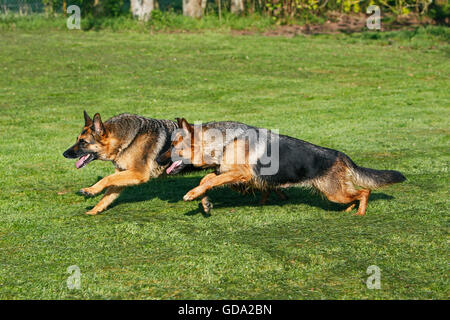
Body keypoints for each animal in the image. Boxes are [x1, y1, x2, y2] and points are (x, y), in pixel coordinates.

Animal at [156, 119, 406, 216]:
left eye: (173, 146)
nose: (157, 160)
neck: (224, 142)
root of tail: (340, 155)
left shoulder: (241, 173)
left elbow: (210, 180)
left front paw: (192, 195)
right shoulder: (227, 171)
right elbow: (207, 179)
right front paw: (203, 200)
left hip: (334, 192)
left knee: (365, 191)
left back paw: (360, 213)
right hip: (334, 192)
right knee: (355, 194)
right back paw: (349, 211)